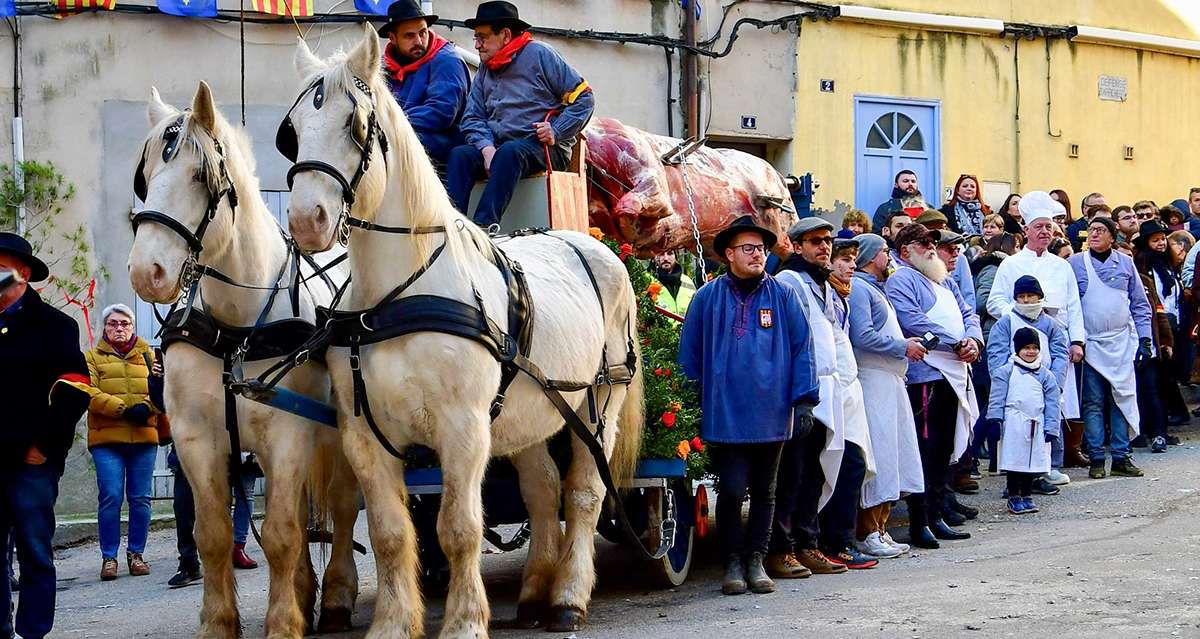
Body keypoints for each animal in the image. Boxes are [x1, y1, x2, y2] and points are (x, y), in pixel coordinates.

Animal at [129, 82, 360, 634]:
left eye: (200, 175)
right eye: (145, 178)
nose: (146, 272)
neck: (235, 330)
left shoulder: (288, 434)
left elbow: (279, 533)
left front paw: (283, 623)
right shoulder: (196, 438)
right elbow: (212, 535)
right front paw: (219, 623)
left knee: (342, 509)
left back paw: (336, 597)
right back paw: (305, 589)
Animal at [282, 27, 648, 639]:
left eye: (355, 123)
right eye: (292, 131)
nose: (306, 220)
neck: (396, 296)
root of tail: (593, 244)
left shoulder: (465, 428)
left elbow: (458, 528)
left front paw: (465, 621)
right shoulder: (364, 435)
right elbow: (389, 533)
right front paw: (393, 623)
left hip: (600, 401)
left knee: (584, 493)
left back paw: (568, 597)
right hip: (531, 410)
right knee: (542, 490)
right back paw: (535, 592)